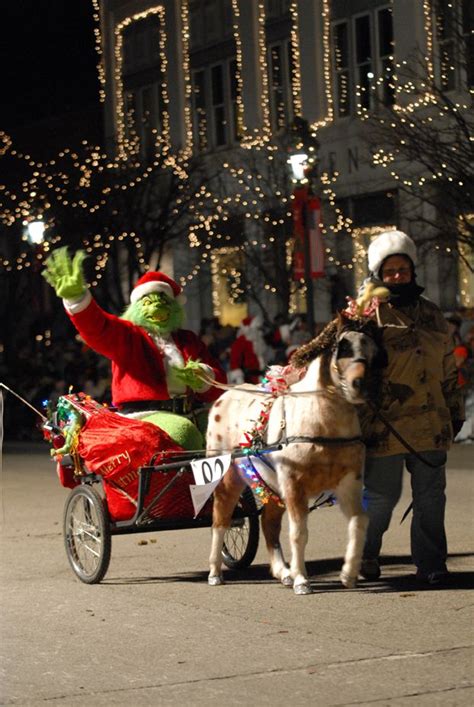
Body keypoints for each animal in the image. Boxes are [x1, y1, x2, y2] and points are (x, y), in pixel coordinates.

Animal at [206, 318, 386, 596]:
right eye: (342, 348)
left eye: (373, 352)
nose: (361, 385)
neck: (322, 426)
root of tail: (224, 397)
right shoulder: (293, 484)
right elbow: (299, 532)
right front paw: (302, 580)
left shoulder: (349, 483)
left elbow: (359, 521)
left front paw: (348, 573)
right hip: (228, 479)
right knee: (221, 521)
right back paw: (215, 572)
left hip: (270, 485)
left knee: (268, 523)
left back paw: (283, 572)